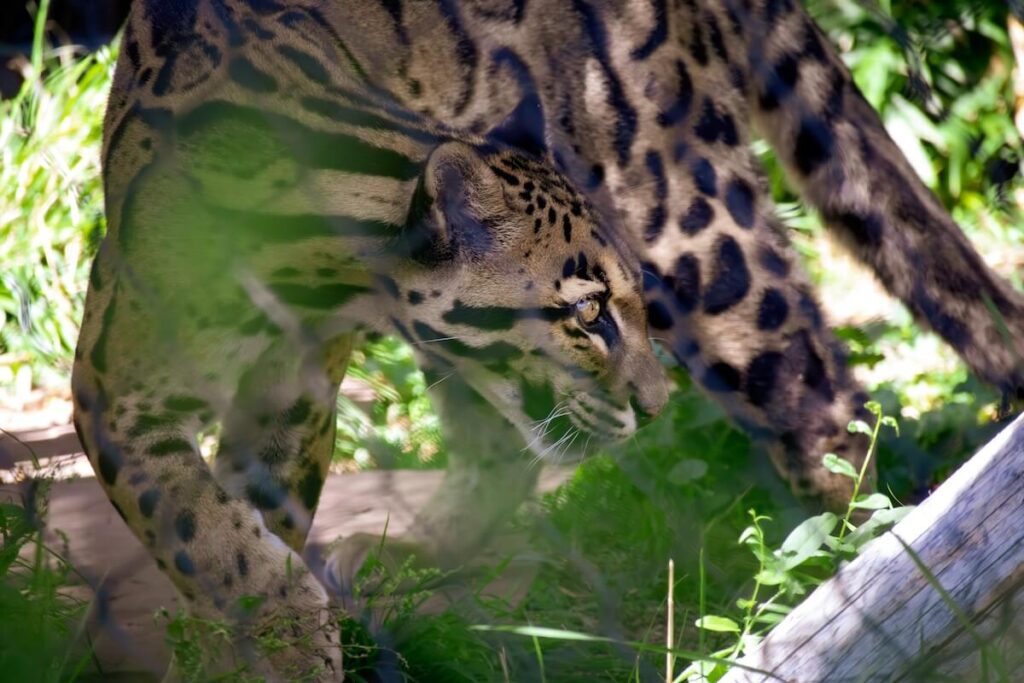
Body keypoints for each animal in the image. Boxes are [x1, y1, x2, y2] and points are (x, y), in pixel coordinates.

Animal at [73, 0, 1024, 678]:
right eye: (589, 311)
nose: (654, 404)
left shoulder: (292, 392)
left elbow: (245, 532)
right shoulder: (118, 392)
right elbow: (216, 533)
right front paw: (264, 639)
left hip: (691, 224)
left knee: (825, 406)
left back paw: (842, 583)